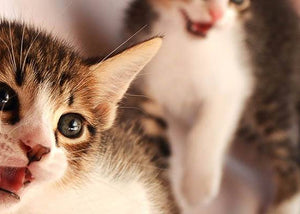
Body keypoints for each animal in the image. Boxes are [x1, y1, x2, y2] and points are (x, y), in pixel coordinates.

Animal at [125, 0, 300, 211]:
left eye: (238, 2)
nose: (217, 15)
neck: (187, 45)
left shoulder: (234, 80)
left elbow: (210, 127)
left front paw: (197, 186)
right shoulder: (144, 86)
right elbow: (150, 143)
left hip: (269, 97)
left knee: (290, 159)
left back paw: (282, 208)